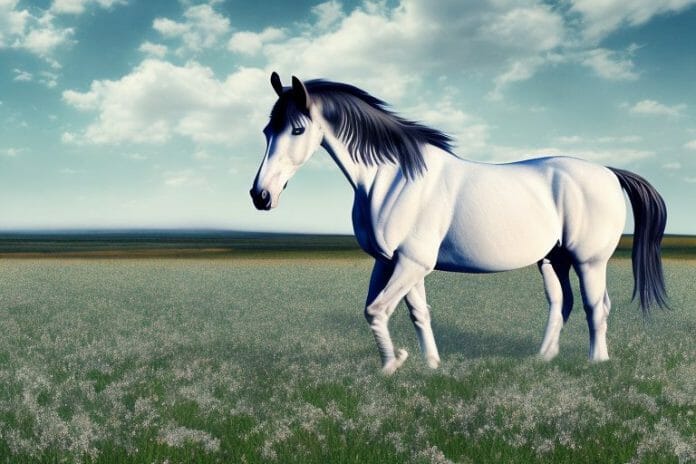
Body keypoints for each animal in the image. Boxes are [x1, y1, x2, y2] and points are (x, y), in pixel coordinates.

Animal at [250, 72, 668, 374]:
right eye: (267, 130)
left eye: (298, 129)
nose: (261, 196)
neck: (394, 178)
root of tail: (609, 172)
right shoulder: (393, 262)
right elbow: (412, 312)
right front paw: (429, 365)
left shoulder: (411, 263)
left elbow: (377, 310)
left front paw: (392, 365)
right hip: (553, 259)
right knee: (561, 303)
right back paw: (542, 359)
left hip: (589, 261)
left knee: (596, 306)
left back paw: (597, 363)